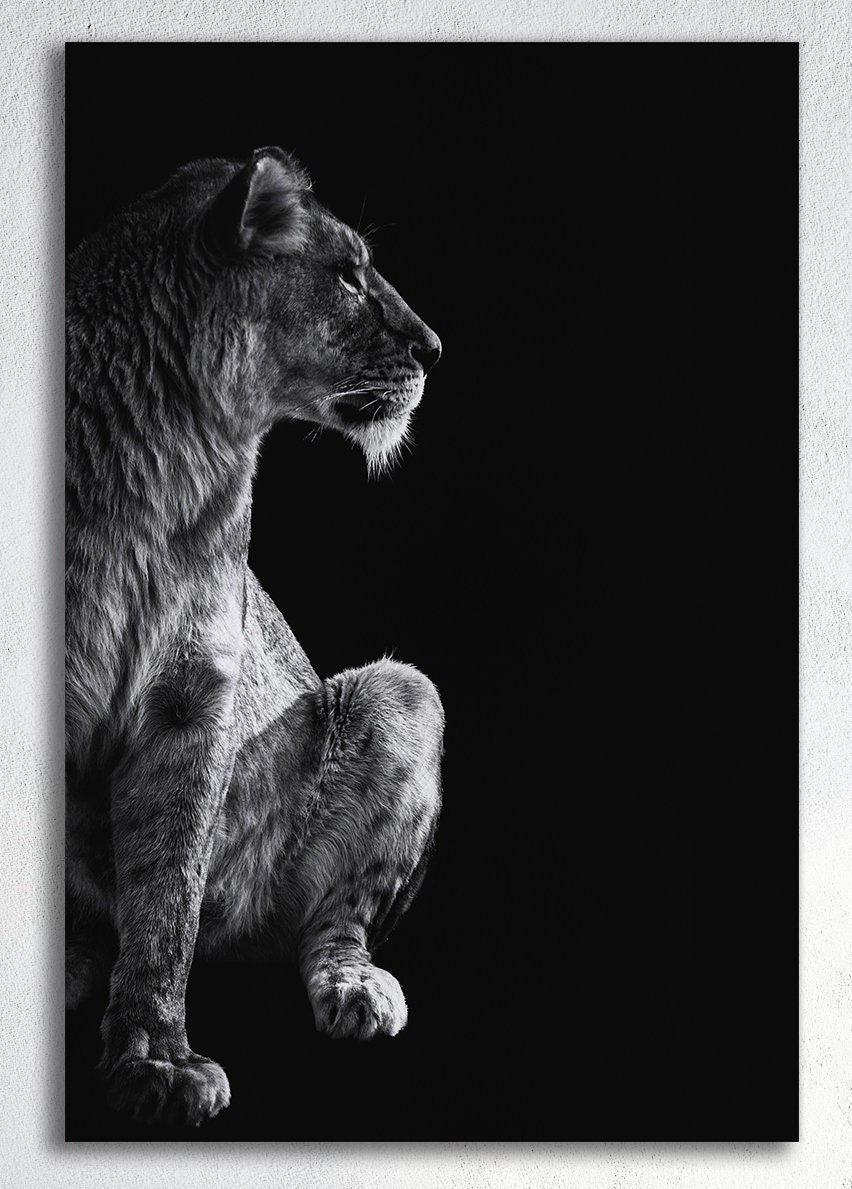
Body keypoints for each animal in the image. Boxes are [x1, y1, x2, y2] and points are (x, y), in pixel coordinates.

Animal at [65, 146, 444, 1128]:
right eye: (347, 274)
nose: (434, 348)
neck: (172, 446)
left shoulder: (192, 694)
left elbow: (166, 895)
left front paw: (156, 1059)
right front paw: (158, 1062)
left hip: (404, 694)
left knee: (327, 923)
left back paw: (355, 987)